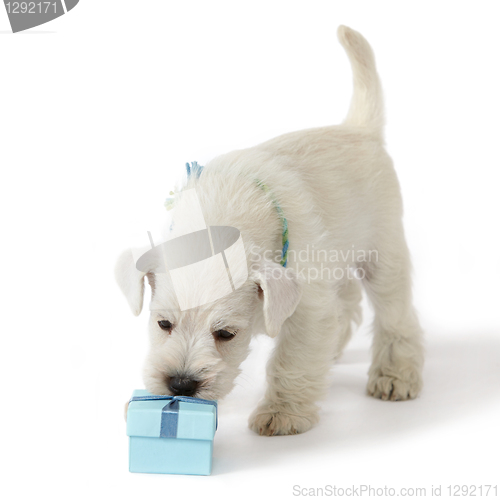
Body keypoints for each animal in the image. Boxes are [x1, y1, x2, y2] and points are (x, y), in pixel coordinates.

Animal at [115, 25, 424, 436]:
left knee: (395, 316)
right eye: (163, 323)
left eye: (226, 334)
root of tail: (359, 129)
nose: (180, 385)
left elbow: (292, 359)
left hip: (383, 254)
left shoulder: (308, 309)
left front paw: (283, 413)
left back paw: (395, 374)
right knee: (347, 304)